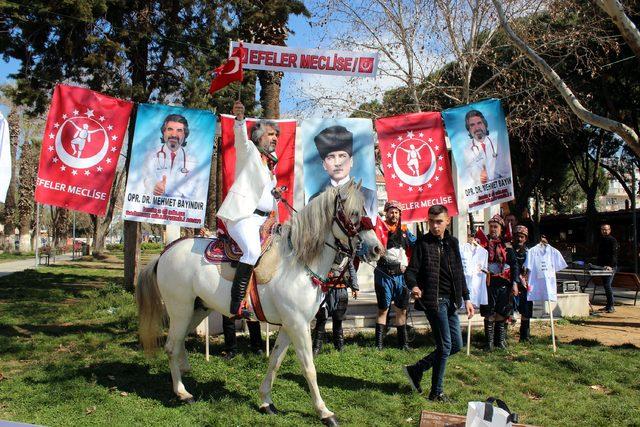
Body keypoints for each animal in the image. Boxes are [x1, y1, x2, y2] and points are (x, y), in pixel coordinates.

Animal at [136, 181, 382, 424]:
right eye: (354, 213)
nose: (377, 249)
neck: (298, 263)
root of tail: (165, 253)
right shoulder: (298, 325)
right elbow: (309, 367)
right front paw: (324, 411)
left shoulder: (289, 326)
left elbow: (275, 361)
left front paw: (266, 401)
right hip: (181, 310)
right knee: (170, 347)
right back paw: (182, 392)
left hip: (198, 310)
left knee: (178, 344)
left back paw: (183, 373)